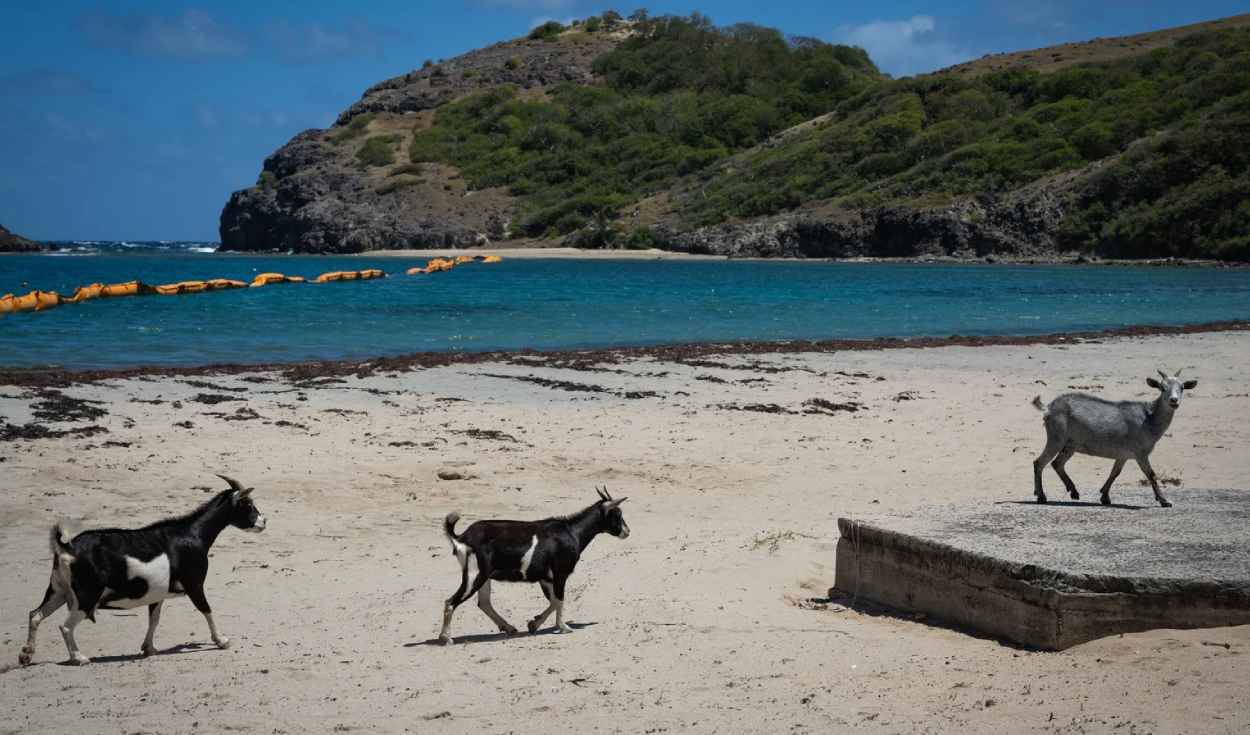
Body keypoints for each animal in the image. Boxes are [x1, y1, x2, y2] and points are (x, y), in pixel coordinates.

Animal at [17, 475, 266, 666]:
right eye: (248, 504)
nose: (264, 521)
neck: (192, 534)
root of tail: (66, 548)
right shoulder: (194, 583)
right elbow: (206, 609)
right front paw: (222, 640)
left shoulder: (157, 594)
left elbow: (154, 619)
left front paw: (149, 648)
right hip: (88, 594)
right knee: (65, 626)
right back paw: (78, 658)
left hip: (58, 590)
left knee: (35, 615)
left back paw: (26, 655)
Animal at [438, 486, 629, 646]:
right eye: (617, 515)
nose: (626, 532)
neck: (572, 533)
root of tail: (461, 538)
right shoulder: (560, 573)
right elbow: (560, 599)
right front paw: (564, 627)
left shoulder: (546, 578)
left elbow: (553, 601)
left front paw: (534, 624)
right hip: (475, 573)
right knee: (451, 602)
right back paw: (446, 638)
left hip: (483, 575)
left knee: (484, 603)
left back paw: (509, 628)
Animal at [1032, 370, 1197, 507]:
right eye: (1162, 388)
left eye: (1182, 387)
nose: (1174, 400)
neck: (1149, 418)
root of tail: (1049, 407)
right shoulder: (1140, 453)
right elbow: (1151, 474)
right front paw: (1164, 501)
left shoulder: (1124, 454)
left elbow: (1115, 473)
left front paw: (1105, 497)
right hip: (1056, 438)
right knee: (1039, 463)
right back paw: (1042, 497)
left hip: (1070, 445)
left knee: (1057, 464)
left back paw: (1074, 492)